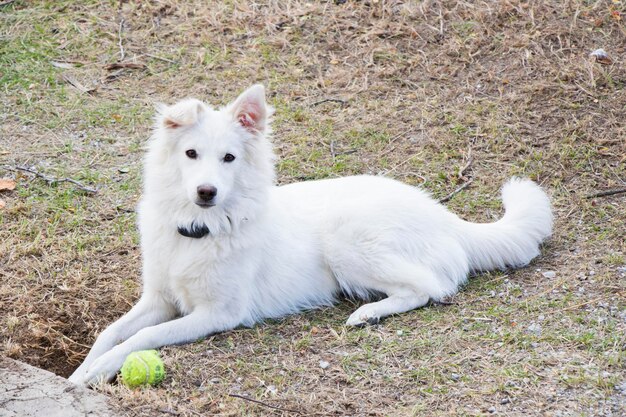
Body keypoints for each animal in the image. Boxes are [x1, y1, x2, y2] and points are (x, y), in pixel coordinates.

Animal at [68, 83, 548, 384]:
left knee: (430, 287)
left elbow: (142, 338)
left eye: (228, 158)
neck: (201, 230)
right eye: (191, 154)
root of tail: (446, 216)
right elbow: (109, 331)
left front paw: (101, 370)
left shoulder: (217, 314)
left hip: (346, 240)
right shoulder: (158, 300)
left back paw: (368, 313)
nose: (206, 192)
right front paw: (81, 369)